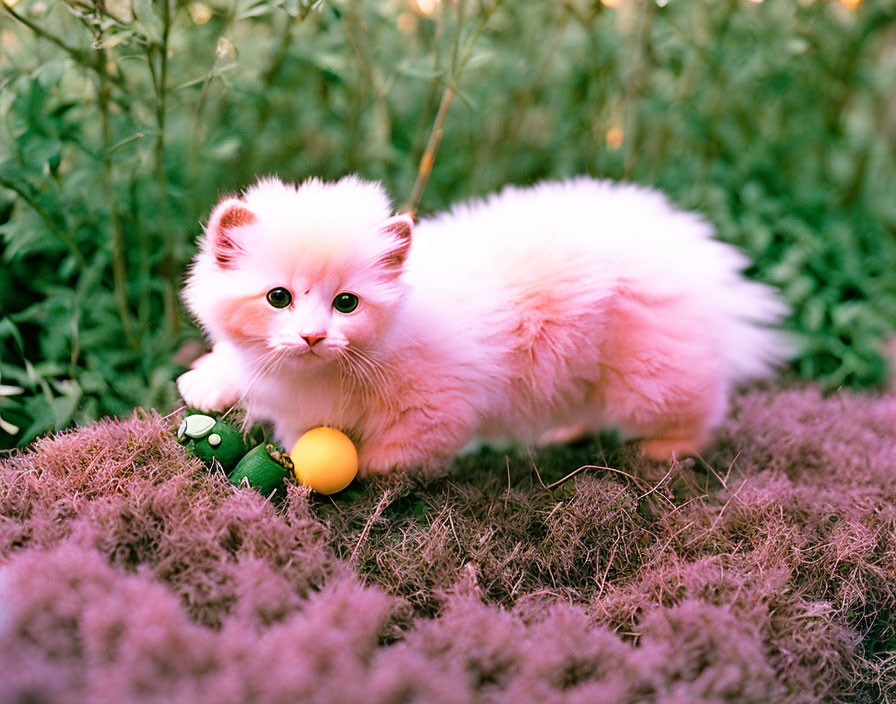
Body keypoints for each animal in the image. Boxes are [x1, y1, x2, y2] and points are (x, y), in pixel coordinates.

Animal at [177, 175, 792, 472]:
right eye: (278, 297)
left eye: (346, 303)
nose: (312, 336)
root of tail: (693, 253)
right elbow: (234, 365)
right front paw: (203, 386)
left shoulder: (435, 409)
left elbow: (391, 454)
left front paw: (351, 468)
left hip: (648, 378)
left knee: (702, 406)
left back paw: (667, 449)